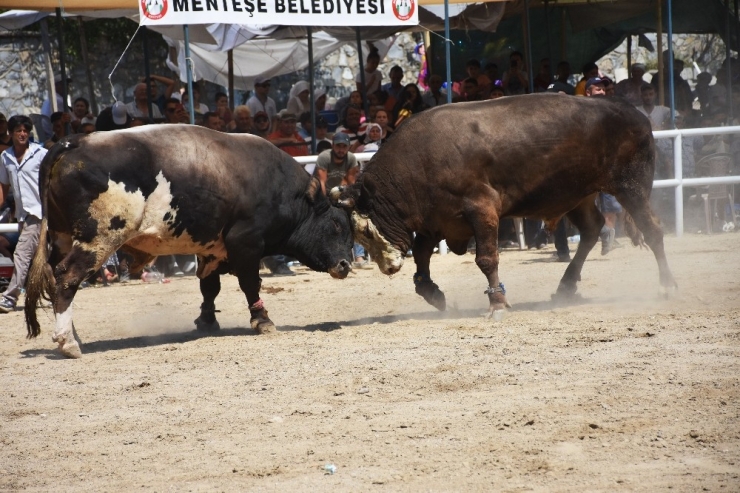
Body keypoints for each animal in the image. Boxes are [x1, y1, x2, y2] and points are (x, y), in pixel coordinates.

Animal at [24, 125, 354, 356]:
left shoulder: (212, 248)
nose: (345, 265)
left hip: (63, 237)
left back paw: (73, 335)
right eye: (336, 226)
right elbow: (250, 284)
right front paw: (262, 320)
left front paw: (207, 321)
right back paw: (68, 342)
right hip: (98, 240)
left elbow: (209, 287)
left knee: (56, 279)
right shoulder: (245, 243)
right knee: (67, 277)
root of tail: (74, 142)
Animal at [334, 93, 676, 316]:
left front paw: (497, 303)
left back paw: (666, 286)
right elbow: (421, 256)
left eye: (365, 230)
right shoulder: (438, 221)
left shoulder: (482, 210)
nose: (388, 267)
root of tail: (635, 114)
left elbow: (486, 259)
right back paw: (565, 287)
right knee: (592, 230)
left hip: (631, 188)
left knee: (652, 229)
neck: (419, 160)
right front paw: (432, 293)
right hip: (579, 194)